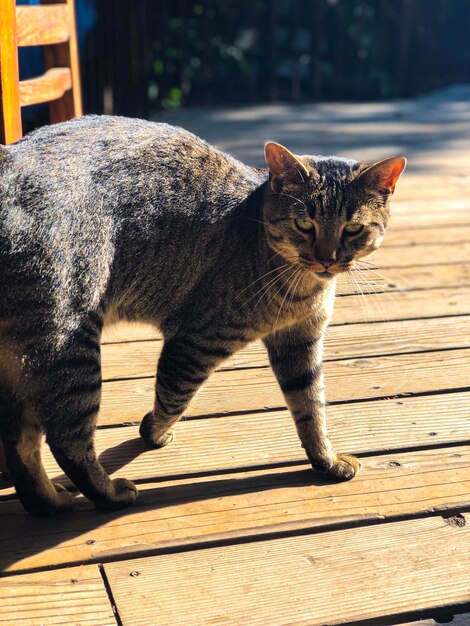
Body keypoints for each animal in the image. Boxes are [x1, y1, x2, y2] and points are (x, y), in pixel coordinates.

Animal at [0, 116, 404, 512]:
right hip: (67, 344)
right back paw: (110, 493)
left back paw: (51, 503)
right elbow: (173, 395)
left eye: (353, 229)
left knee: (20, 446)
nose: (327, 259)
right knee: (67, 442)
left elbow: (311, 408)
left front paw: (326, 461)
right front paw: (155, 432)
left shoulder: (300, 341)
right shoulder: (194, 343)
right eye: (305, 224)